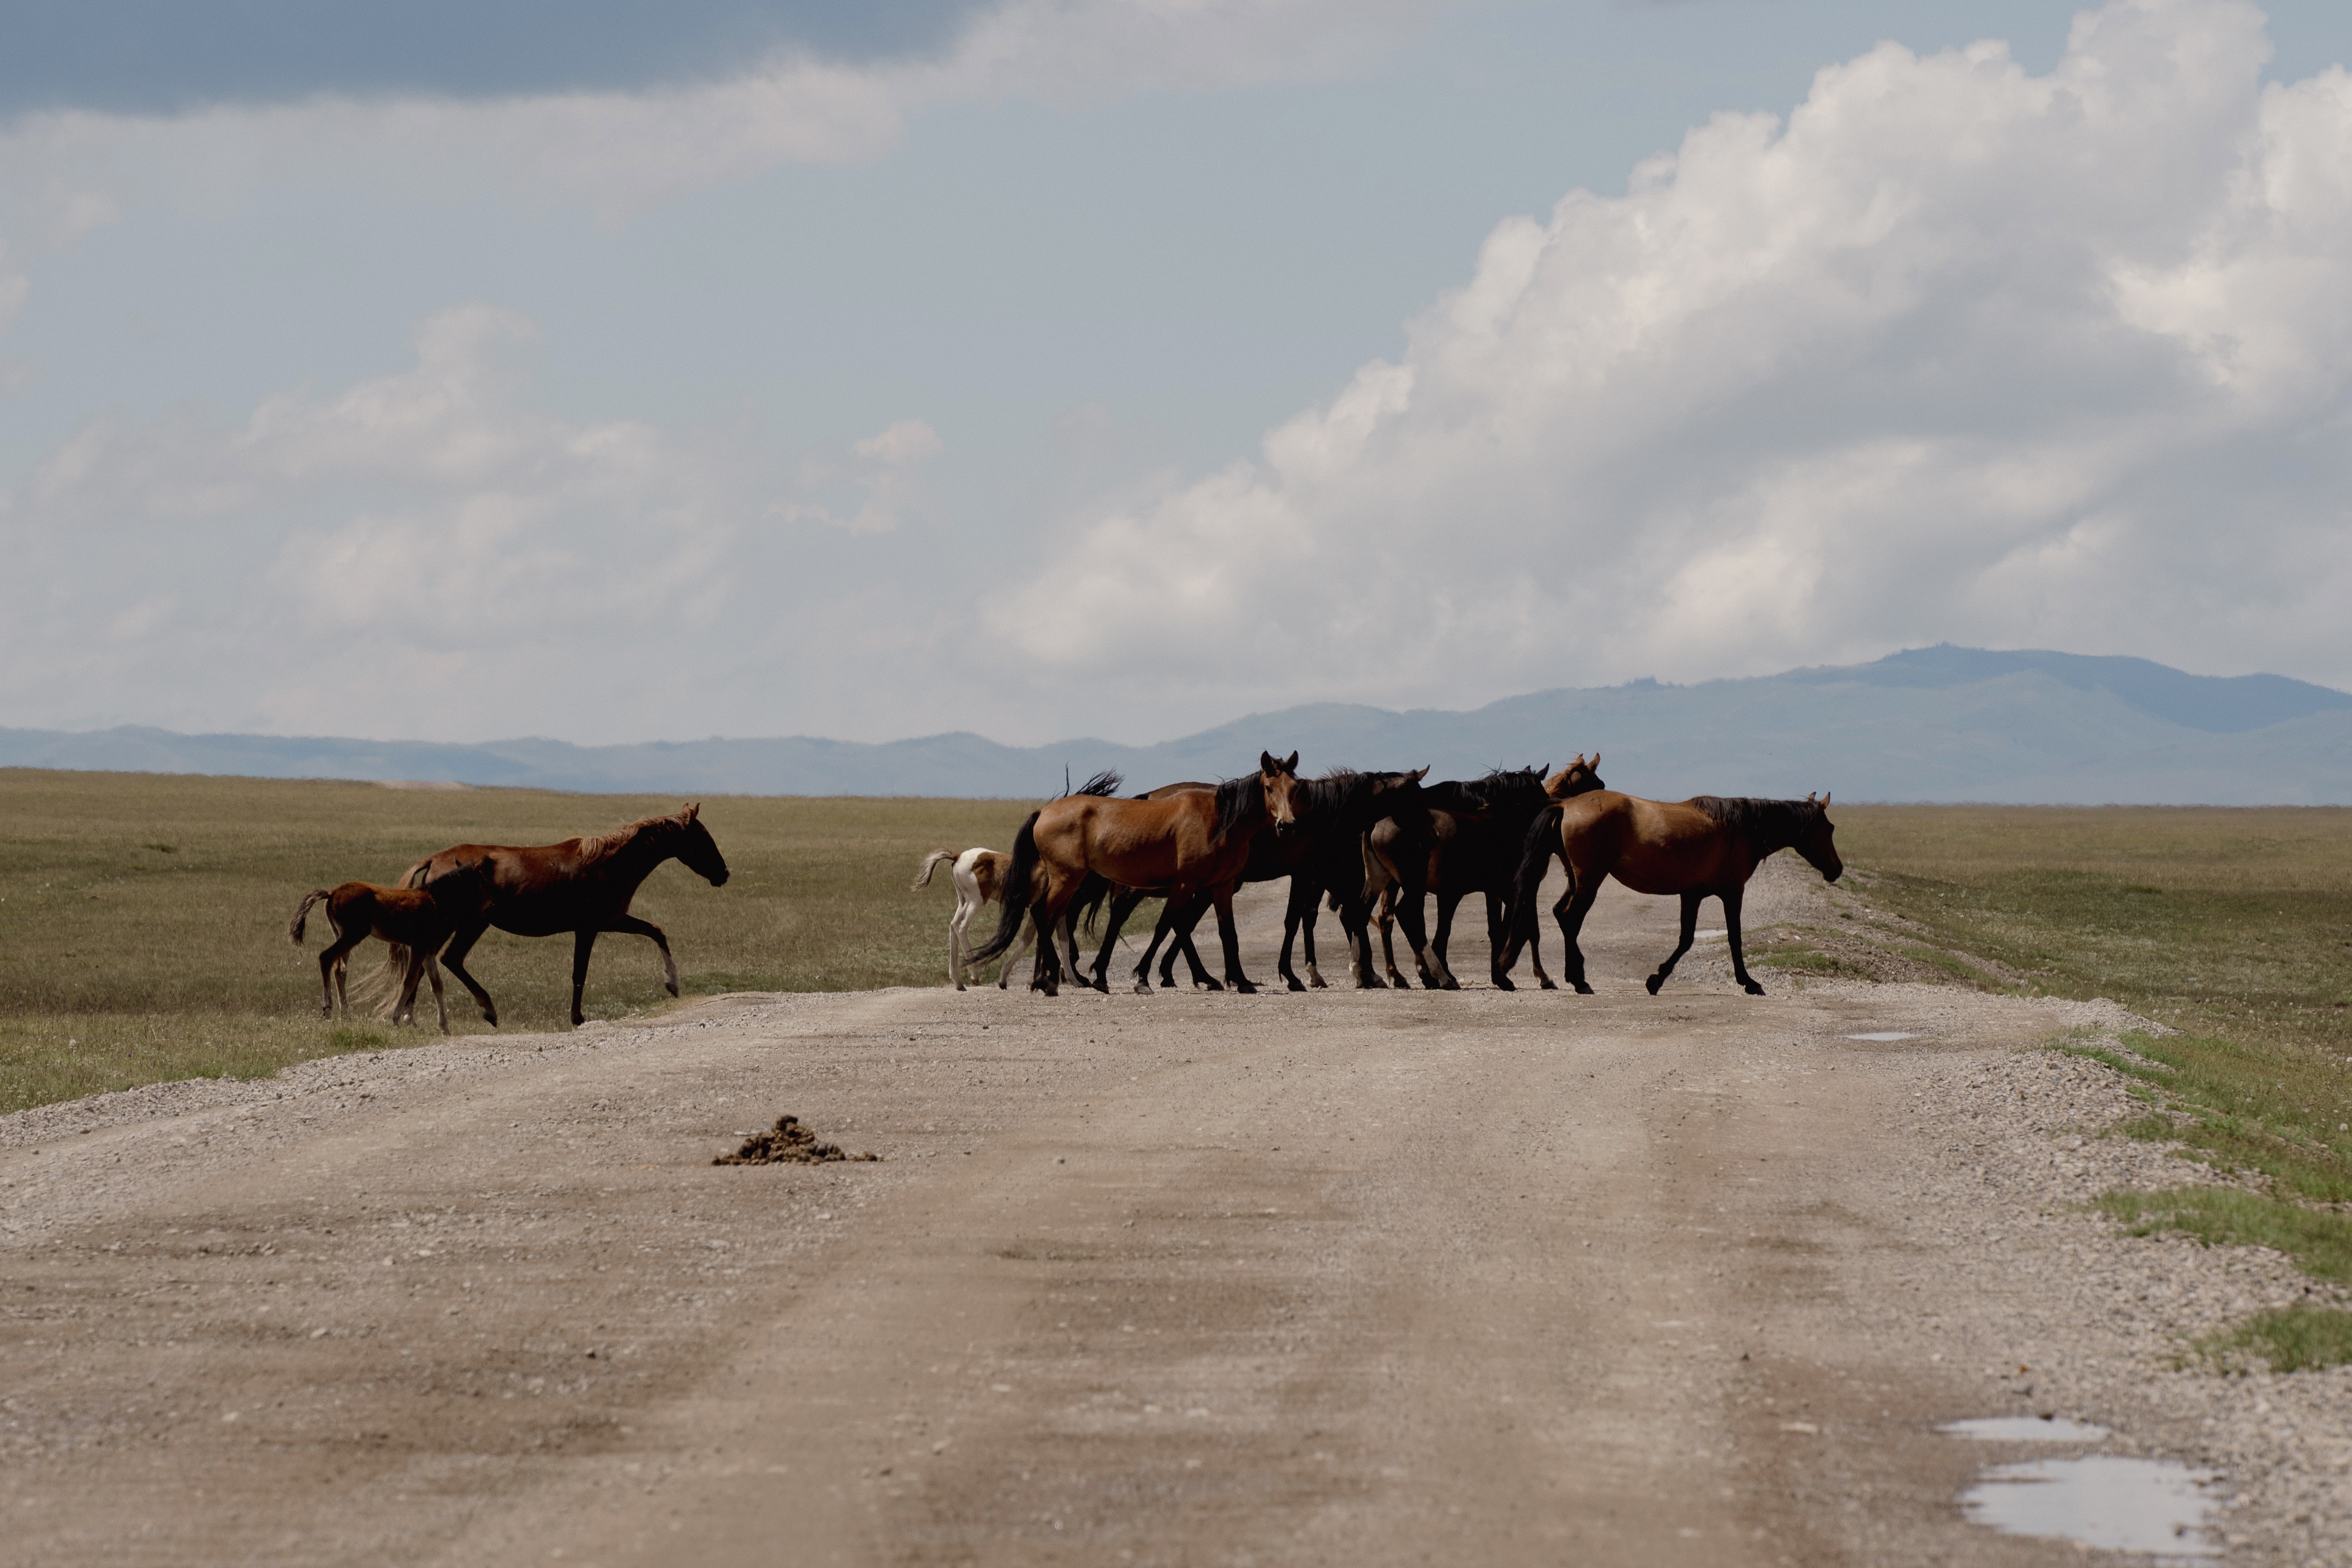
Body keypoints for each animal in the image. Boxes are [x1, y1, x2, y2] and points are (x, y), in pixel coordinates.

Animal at [289, 862, 497, 1033]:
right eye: (482, 883)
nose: (491, 906)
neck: (435, 900)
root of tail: (332, 892)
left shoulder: (428, 949)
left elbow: (437, 984)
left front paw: (445, 1028)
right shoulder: (419, 946)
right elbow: (410, 980)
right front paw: (396, 1019)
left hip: (341, 934)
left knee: (339, 968)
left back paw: (345, 1014)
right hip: (353, 935)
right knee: (326, 957)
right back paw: (327, 1008)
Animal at [378, 803, 731, 1027]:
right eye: (702, 838)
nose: (724, 874)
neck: (608, 865)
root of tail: (434, 859)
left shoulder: (613, 921)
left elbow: (656, 930)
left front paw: (673, 984)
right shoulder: (588, 928)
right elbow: (579, 973)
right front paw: (577, 1018)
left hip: (451, 924)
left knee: (426, 960)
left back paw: (410, 1016)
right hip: (469, 924)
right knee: (448, 959)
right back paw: (487, 1010)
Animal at [911, 847, 1085, 990]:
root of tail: (958, 856)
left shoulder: (1061, 913)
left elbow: (1064, 941)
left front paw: (1075, 981)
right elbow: (1028, 939)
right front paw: (1003, 979)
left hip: (963, 901)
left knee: (953, 926)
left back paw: (958, 982)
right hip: (976, 901)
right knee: (961, 927)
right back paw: (975, 975)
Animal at [969, 752, 1302, 995]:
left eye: (1295, 789)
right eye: (1269, 788)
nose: (1287, 825)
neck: (1217, 821)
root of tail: (1044, 812)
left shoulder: (1221, 886)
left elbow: (1226, 932)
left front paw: (1242, 981)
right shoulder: (1185, 884)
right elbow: (1168, 925)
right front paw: (1144, 979)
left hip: (1069, 882)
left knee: (1049, 920)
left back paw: (1047, 979)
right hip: (1067, 880)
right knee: (1042, 914)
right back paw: (1051, 980)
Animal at [1503, 790, 1841, 996]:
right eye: (1830, 828)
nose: (1837, 870)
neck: (1741, 829)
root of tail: (1566, 806)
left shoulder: (1692, 896)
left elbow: (1686, 940)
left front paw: (1656, 979)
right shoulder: (1733, 893)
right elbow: (1733, 938)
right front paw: (1749, 982)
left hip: (1576, 880)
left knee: (1562, 916)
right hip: (1589, 882)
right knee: (1572, 920)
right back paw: (1579, 980)